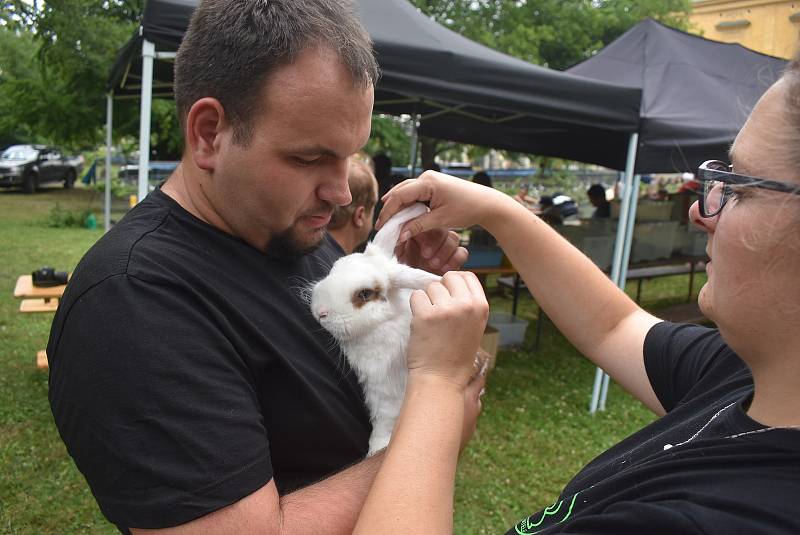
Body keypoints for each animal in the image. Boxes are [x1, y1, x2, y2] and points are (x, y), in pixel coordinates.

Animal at [310, 203, 438, 454]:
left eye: (365, 294)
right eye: (336, 267)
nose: (320, 312)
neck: (380, 326)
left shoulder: (385, 387)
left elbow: (384, 421)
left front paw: (376, 449)